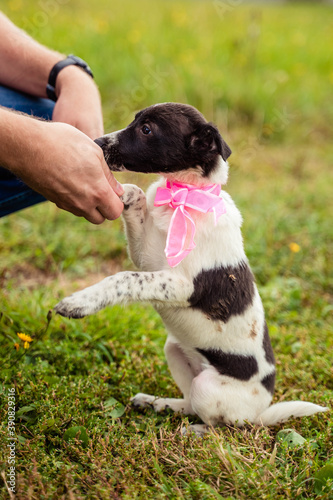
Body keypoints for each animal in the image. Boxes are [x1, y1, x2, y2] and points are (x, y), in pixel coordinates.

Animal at [55, 102, 326, 430]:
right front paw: (119, 192)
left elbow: (125, 278)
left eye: (147, 129)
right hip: (173, 350)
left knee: (218, 425)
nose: (96, 143)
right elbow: (134, 192)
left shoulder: (183, 285)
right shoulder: (148, 258)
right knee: (190, 404)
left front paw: (78, 302)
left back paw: (193, 431)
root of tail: (259, 414)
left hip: (209, 389)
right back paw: (159, 403)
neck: (183, 195)